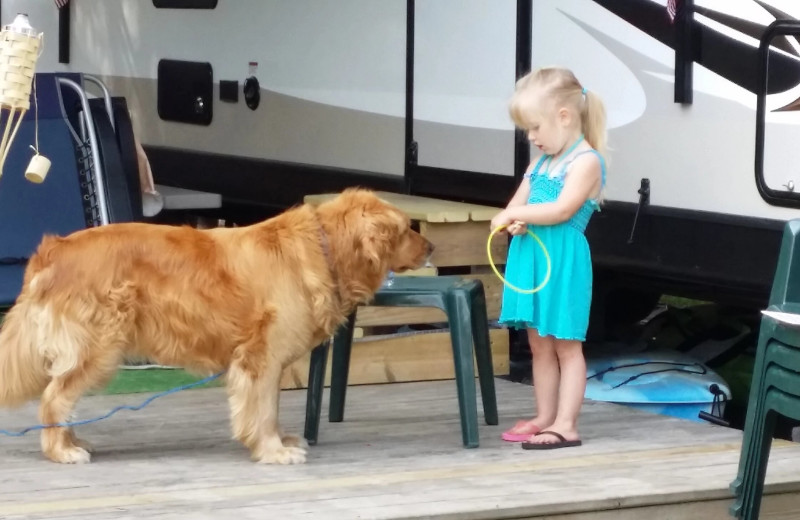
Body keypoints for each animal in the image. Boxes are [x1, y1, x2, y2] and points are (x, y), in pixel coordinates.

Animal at [0, 189, 432, 466]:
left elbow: (270, 407)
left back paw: (73, 439)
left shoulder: (264, 360)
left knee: (60, 398)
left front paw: (276, 442)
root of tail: (52, 250)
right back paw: (61, 450)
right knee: (53, 398)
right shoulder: (260, 358)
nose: (431, 248)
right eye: (405, 229)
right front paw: (273, 450)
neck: (324, 249)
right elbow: (263, 409)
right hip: (97, 349)